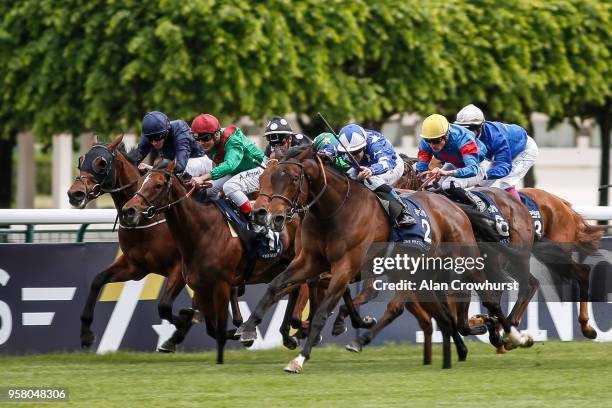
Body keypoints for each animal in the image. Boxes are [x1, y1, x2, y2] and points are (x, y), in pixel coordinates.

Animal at [119, 160, 304, 364]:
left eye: (158, 185)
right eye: (140, 182)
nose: (129, 211)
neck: (203, 231)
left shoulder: (221, 286)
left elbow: (219, 330)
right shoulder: (201, 287)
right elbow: (212, 329)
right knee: (293, 290)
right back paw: (288, 335)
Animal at [237, 147, 528, 372]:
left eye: (294, 178)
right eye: (264, 177)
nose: (269, 216)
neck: (333, 212)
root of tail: (454, 206)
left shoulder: (346, 267)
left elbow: (321, 312)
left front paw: (299, 358)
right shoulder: (310, 261)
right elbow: (275, 286)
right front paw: (247, 329)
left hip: (464, 260)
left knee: (490, 298)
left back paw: (514, 336)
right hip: (416, 271)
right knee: (427, 309)